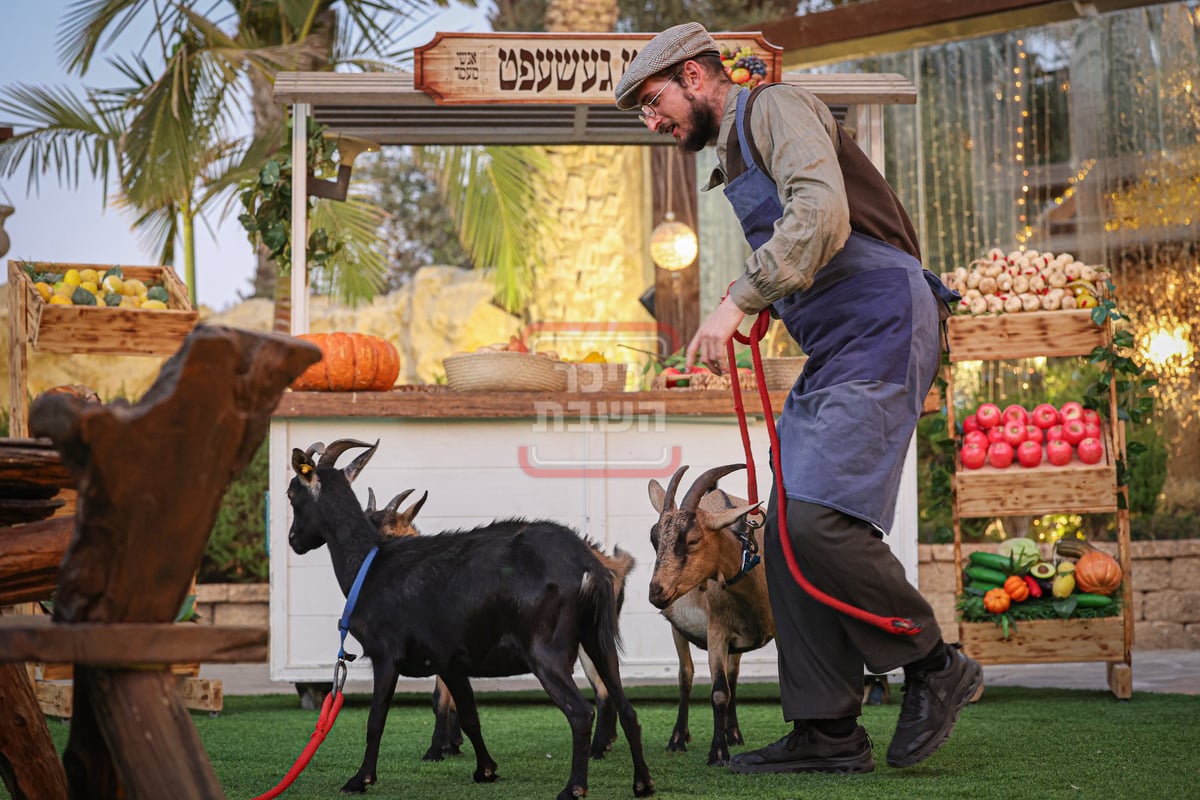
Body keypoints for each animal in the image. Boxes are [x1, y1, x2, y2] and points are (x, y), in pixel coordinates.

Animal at [288, 441, 657, 796]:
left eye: (292, 494)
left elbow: (376, 717)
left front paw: (360, 779)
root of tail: (590, 565)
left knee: (581, 712)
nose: (293, 540)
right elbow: (468, 715)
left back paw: (574, 787)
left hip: (546, 650)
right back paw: (642, 783)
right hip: (599, 641)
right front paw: (485, 769)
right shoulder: (450, 661)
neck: (371, 563)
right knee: (627, 708)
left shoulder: (385, 654)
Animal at [648, 465, 777, 767]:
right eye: (653, 538)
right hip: (678, 630)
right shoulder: (716, 630)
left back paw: (734, 733)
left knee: (733, 674)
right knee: (686, 676)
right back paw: (678, 739)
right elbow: (718, 692)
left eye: (693, 539)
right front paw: (718, 753)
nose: (656, 592)